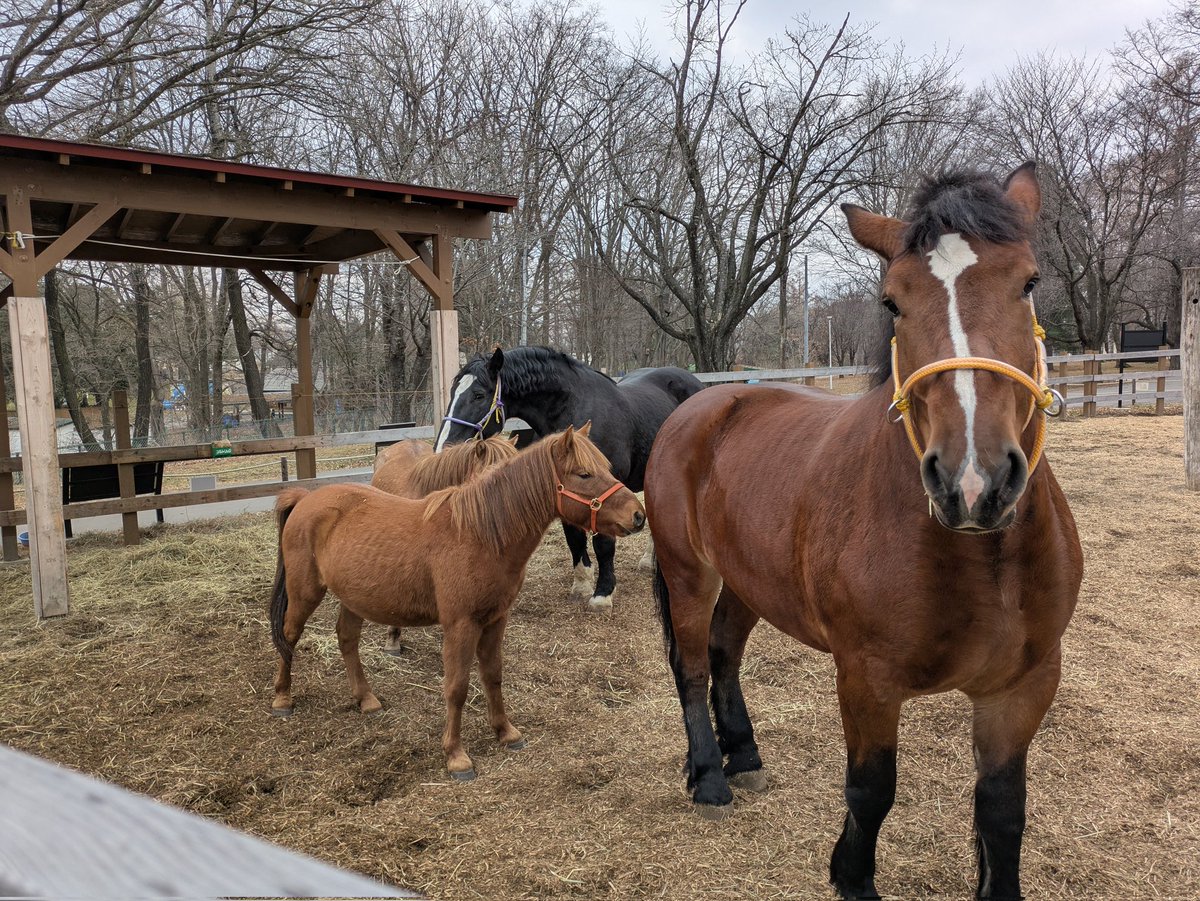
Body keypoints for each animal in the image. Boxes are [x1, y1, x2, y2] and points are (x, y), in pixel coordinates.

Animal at [434, 345, 703, 610]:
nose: (443, 448)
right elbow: (574, 538)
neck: (575, 409)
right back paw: (649, 561)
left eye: (478, 395)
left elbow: (604, 544)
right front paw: (582, 585)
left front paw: (603, 594)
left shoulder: (605, 492)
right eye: (452, 391)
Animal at [644, 164, 1082, 899]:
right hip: (688, 572)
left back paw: (745, 754)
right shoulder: (867, 680)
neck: (981, 560)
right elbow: (871, 792)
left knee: (726, 653)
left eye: (1028, 282)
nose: (973, 480)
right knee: (695, 665)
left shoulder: (1022, 686)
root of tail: (701, 403)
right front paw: (850, 876)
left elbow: (1002, 809)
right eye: (892, 303)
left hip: (748, 580)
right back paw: (708, 776)